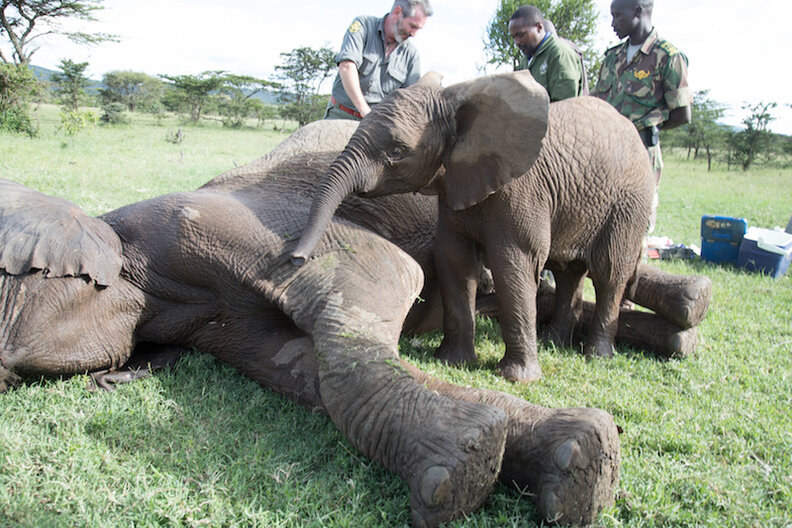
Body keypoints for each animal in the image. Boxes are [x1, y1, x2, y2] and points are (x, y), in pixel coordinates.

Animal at [0, 120, 622, 527]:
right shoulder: (223, 323)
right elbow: (309, 372)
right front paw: (563, 455)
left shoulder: (215, 226)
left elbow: (375, 290)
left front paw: (466, 465)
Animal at [292, 71, 663, 383]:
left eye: (397, 150)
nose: (297, 259)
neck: (456, 100)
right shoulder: (455, 187)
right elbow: (454, 259)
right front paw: (451, 361)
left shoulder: (522, 191)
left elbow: (512, 264)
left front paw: (516, 378)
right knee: (568, 270)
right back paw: (554, 343)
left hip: (630, 203)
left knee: (609, 272)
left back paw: (597, 356)